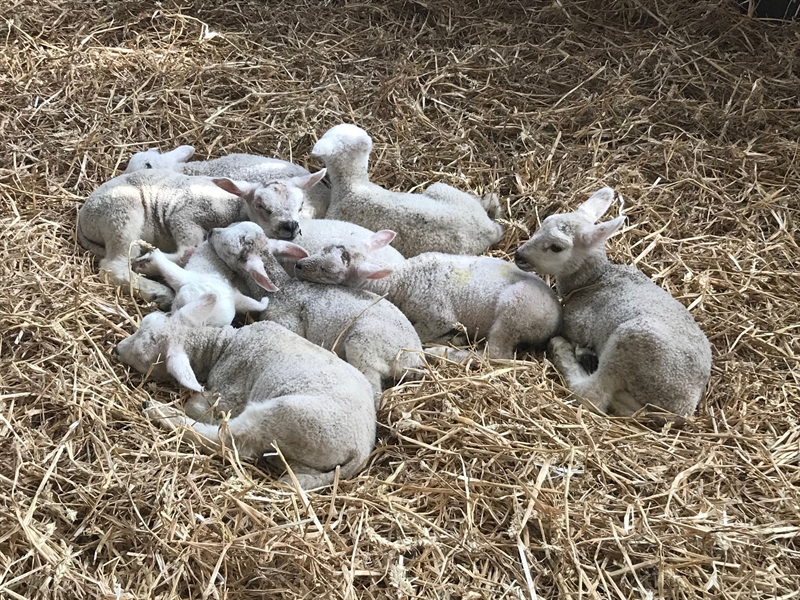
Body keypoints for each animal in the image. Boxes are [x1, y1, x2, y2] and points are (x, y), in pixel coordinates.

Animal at [76, 168, 323, 308]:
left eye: (301, 205)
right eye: (261, 206)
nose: (290, 226)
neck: (233, 207)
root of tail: (83, 217)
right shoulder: (186, 215)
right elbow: (187, 249)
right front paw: (150, 263)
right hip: (121, 213)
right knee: (113, 265)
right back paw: (157, 291)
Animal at [113, 294, 376, 490]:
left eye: (143, 357)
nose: (116, 349)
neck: (223, 345)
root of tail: (361, 450)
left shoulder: (231, 393)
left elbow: (198, 405)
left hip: (285, 418)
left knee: (228, 441)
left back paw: (159, 412)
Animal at [206, 221, 424, 407]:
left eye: (230, 248)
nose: (211, 232)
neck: (283, 289)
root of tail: (414, 358)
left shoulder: (286, 322)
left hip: (365, 347)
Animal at [294, 230, 563, 358]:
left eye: (328, 270)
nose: (298, 265)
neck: (404, 279)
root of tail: (556, 319)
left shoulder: (437, 315)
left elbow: (424, 332)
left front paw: (444, 340)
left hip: (516, 312)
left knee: (497, 354)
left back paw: (448, 351)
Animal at [513, 187, 712, 418]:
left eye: (556, 247)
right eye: (545, 222)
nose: (518, 255)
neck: (594, 280)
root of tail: (683, 407)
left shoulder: (578, 325)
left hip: (632, 343)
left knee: (592, 396)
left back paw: (561, 351)